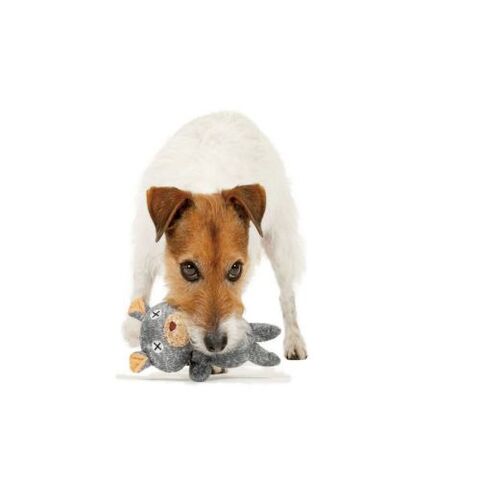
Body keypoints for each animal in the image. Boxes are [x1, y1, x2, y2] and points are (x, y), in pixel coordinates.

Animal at [122, 112, 307, 363]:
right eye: (189, 268)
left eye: (235, 269)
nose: (216, 344)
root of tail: (231, 113)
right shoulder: (145, 246)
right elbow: (141, 282)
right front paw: (134, 325)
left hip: (280, 242)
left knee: (287, 295)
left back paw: (294, 339)